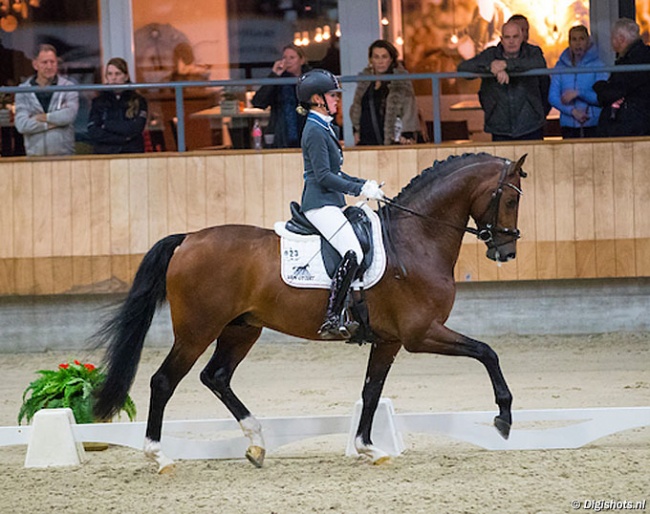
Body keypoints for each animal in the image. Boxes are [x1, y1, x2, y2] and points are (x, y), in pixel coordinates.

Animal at [92, 150, 528, 470]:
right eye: (509, 199)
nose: (506, 252)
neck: (415, 239)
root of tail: (188, 239)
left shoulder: (389, 341)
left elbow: (371, 391)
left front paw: (368, 447)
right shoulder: (420, 333)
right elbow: (487, 352)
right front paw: (504, 418)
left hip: (241, 328)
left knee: (216, 376)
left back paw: (256, 442)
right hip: (198, 330)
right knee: (164, 381)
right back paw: (159, 455)